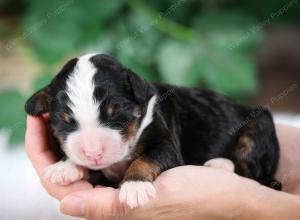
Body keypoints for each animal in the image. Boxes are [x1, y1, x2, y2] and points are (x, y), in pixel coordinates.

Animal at [25, 53, 282, 208]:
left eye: (116, 114)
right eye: (65, 121)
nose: (93, 153)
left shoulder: (166, 143)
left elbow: (148, 158)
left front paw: (135, 185)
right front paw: (64, 167)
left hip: (258, 131)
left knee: (254, 173)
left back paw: (220, 165)